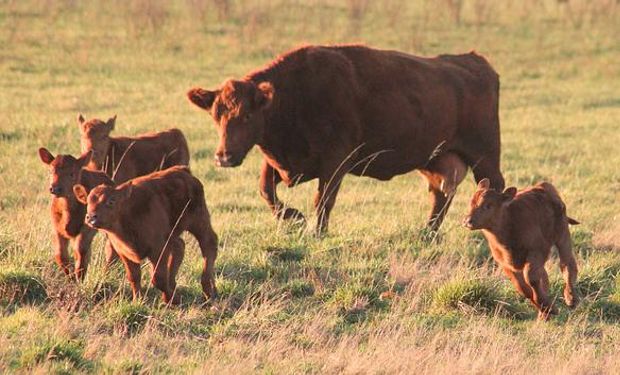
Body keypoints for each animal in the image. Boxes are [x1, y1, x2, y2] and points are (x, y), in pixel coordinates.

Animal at [38, 147, 115, 280]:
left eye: (71, 173)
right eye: (51, 171)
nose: (55, 188)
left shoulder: (87, 227)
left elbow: (80, 250)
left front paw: (79, 276)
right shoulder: (56, 228)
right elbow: (60, 253)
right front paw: (70, 276)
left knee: (110, 250)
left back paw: (105, 273)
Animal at [73, 166, 219, 304]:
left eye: (111, 201)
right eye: (88, 202)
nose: (91, 217)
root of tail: (183, 171)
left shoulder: (158, 250)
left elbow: (158, 278)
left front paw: (172, 300)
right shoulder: (124, 253)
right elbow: (134, 276)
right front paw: (138, 300)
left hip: (199, 222)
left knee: (209, 244)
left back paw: (208, 290)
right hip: (173, 234)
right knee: (180, 246)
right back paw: (175, 285)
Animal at [188, 44, 504, 235]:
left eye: (247, 116)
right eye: (216, 115)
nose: (224, 156)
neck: (294, 96)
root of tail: (474, 60)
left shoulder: (335, 163)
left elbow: (322, 200)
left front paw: (317, 231)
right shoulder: (282, 163)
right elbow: (266, 190)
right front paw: (295, 217)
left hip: (485, 155)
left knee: (493, 186)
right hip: (434, 159)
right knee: (441, 193)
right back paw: (427, 233)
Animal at [462, 179, 580, 320]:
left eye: (488, 205)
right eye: (471, 203)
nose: (467, 221)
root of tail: (541, 186)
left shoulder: (537, 251)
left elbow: (531, 278)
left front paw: (549, 307)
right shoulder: (505, 264)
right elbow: (523, 289)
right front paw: (545, 307)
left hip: (562, 234)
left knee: (567, 264)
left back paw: (571, 298)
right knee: (545, 276)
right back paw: (544, 314)